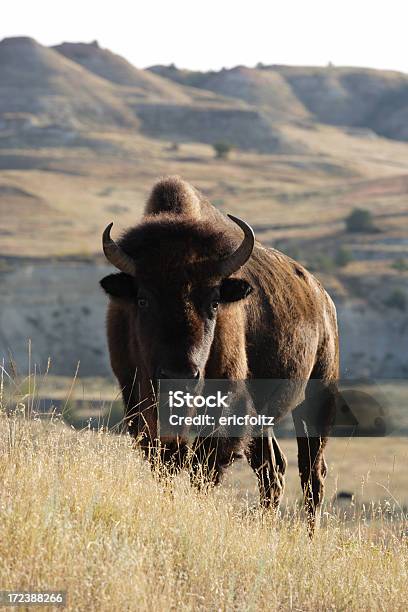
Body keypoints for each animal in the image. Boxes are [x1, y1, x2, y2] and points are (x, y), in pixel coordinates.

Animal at [99, 177, 338, 532]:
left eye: (214, 303)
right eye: (142, 300)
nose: (180, 376)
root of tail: (323, 299)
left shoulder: (225, 411)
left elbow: (203, 469)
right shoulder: (141, 409)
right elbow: (167, 465)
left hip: (317, 399)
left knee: (312, 473)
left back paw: (307, 536)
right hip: (264, 419)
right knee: (273, 471)